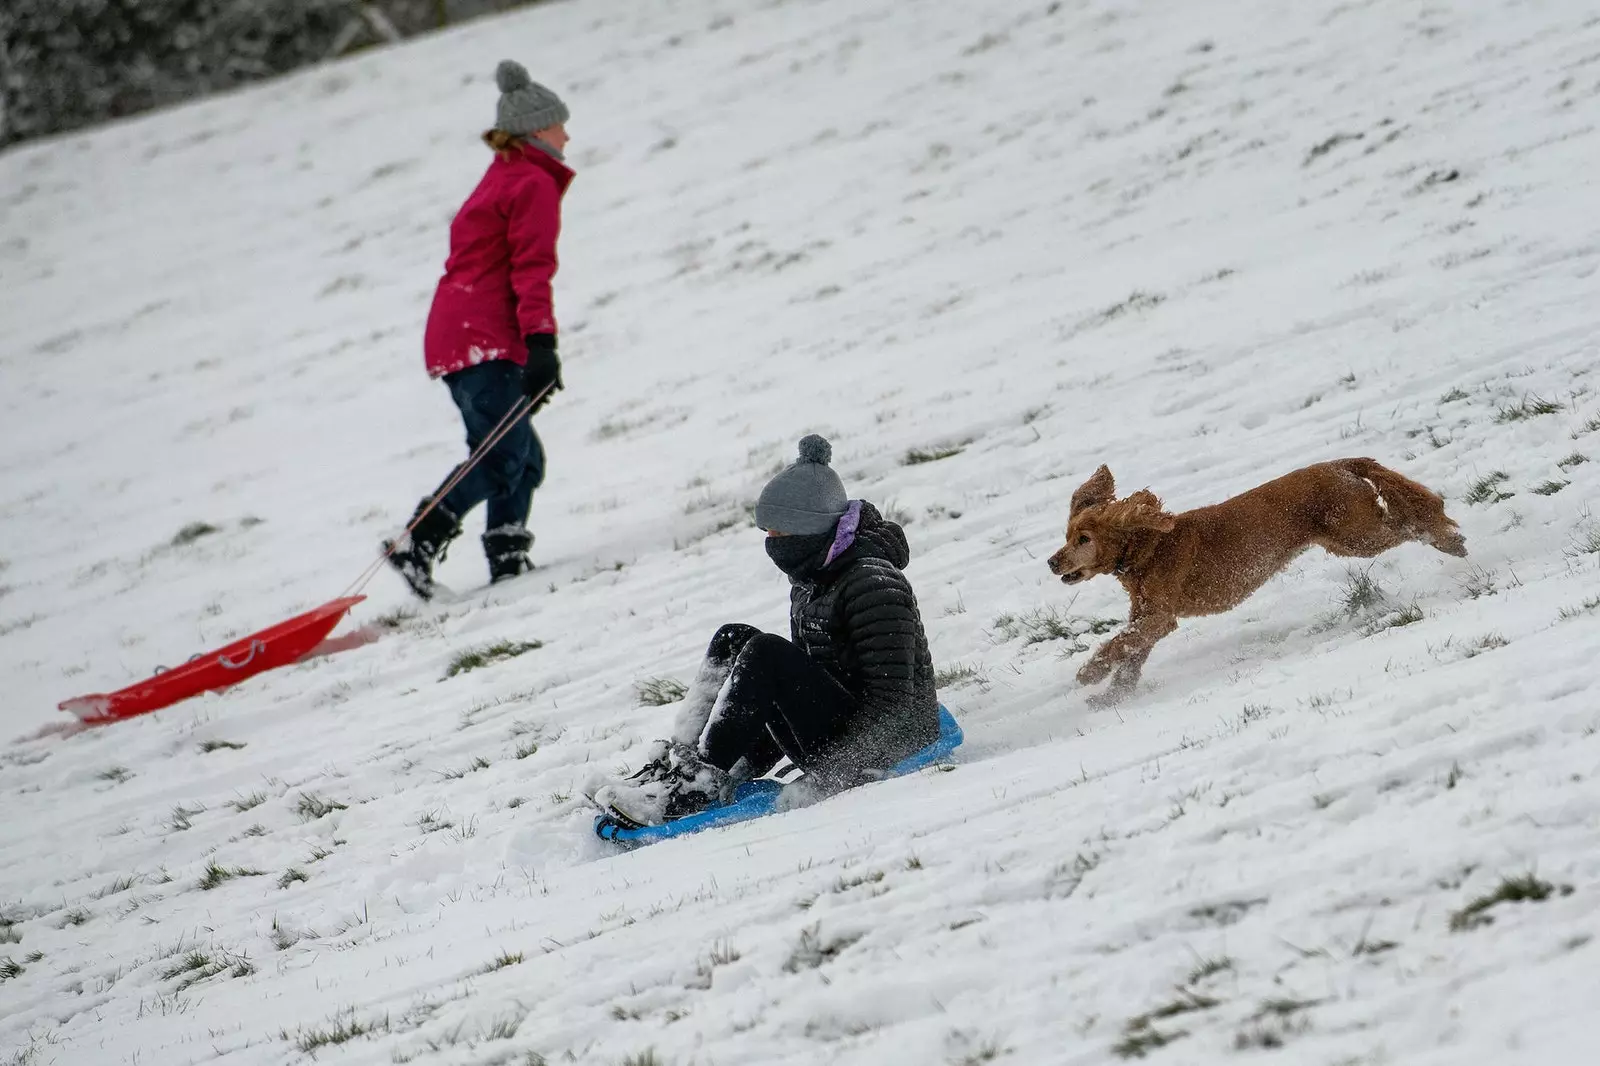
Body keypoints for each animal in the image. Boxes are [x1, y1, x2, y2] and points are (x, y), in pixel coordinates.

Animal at [1043, 457, 1465, 704]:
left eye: (1084, 539)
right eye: (1067, 535)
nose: (1051, 561)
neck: (1148, 544)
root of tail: (1339, 463)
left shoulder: (1159, 616)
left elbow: (1118, 644)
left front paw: (1089, 674)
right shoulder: (1148, 617)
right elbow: (1132, 652)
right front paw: (1114, 695)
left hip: (1357, 535)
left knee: (1410, 524)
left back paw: (1447, 540)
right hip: (1348, 537)